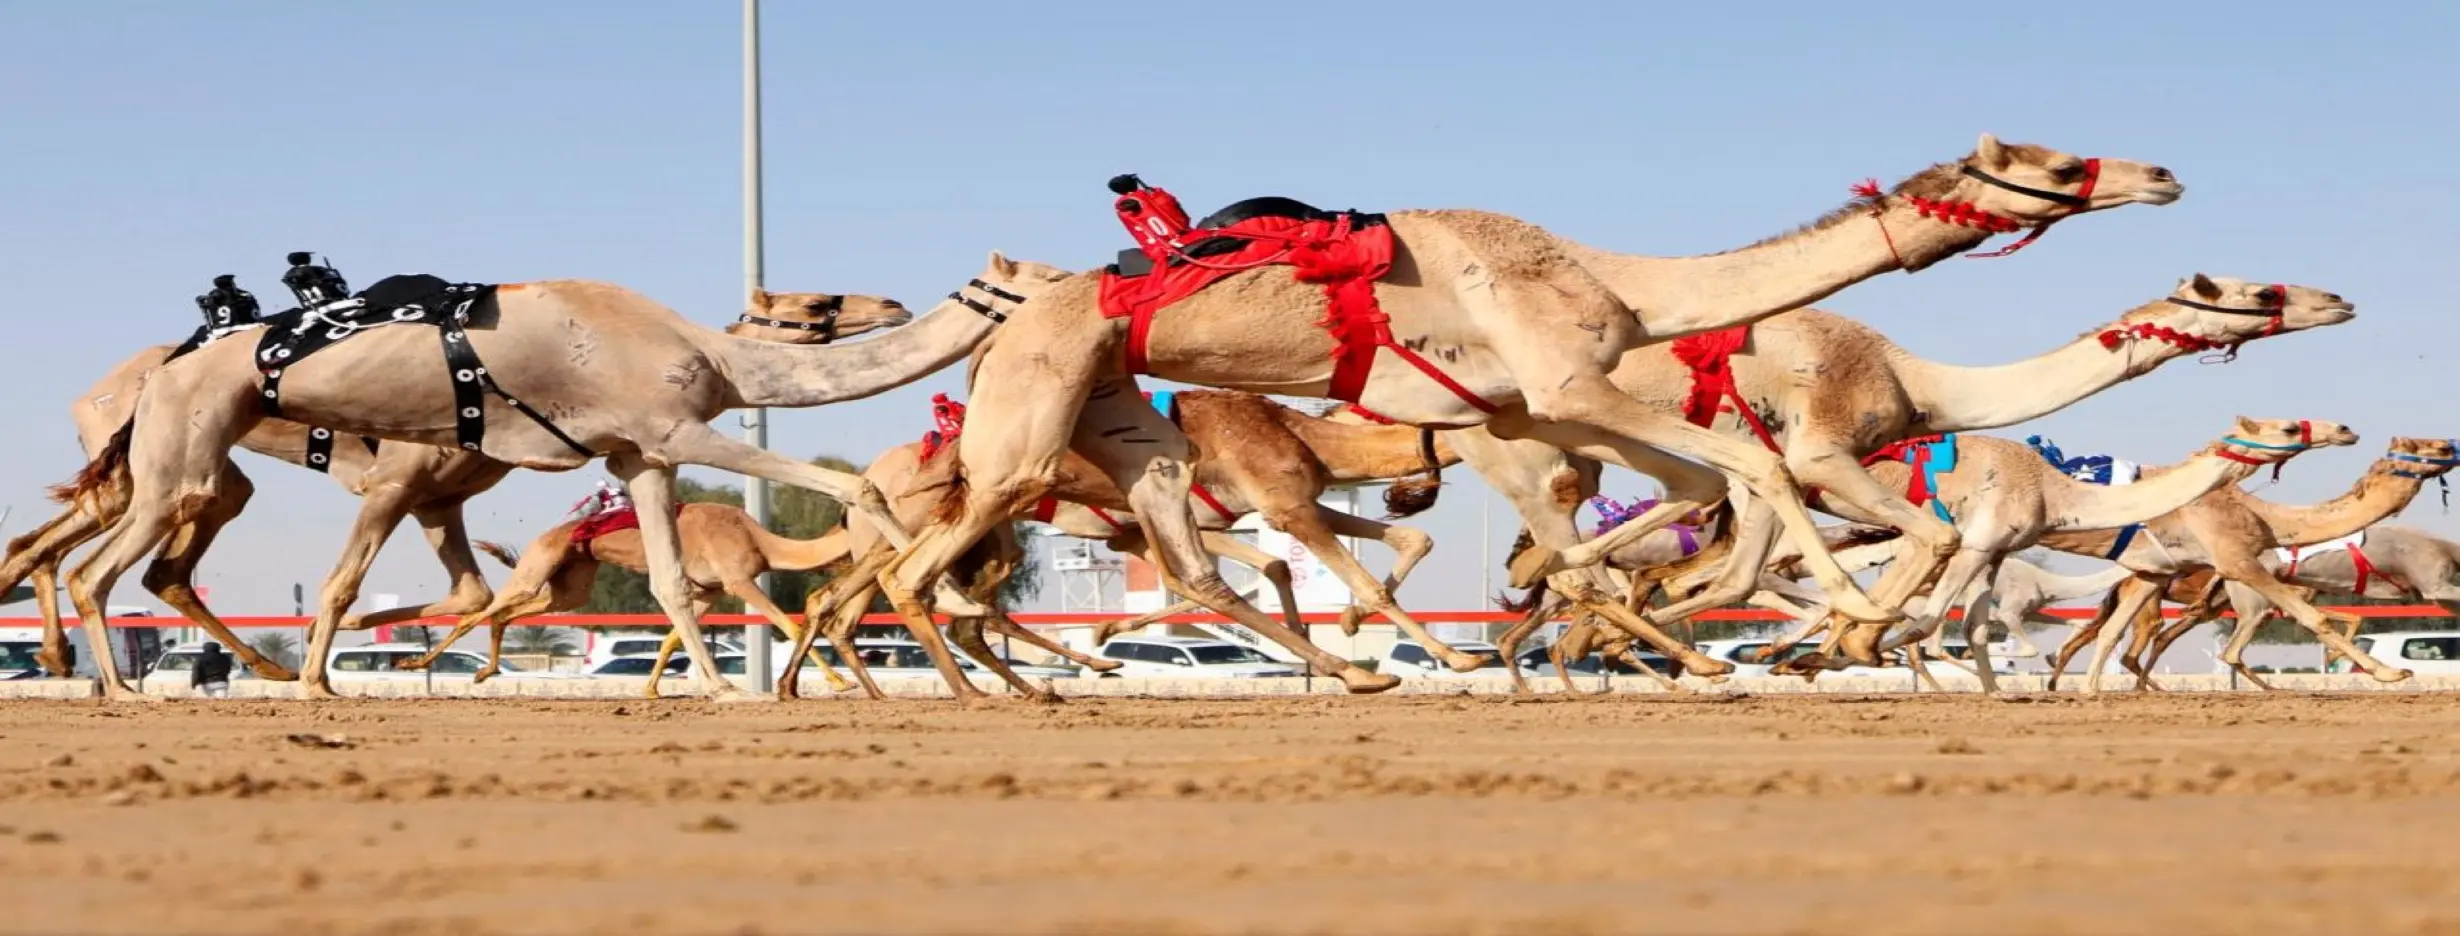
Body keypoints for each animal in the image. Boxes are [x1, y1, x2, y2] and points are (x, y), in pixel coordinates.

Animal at [55, 252, 1064, 700]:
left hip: (191, 463)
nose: (887, 300)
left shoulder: (638, 455)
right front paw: (942, 590)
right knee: (96, 569)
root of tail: (158, 371)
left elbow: (671, 582)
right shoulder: (676, 429)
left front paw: (715, 688)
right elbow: (856, 488)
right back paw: (137, 688)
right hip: (182, 460)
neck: (711, 355)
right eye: (816, 303)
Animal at [782, 389, 1472, 700]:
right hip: (921, 525)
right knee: (889, 593)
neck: (1298, 433)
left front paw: (1339, 633)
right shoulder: (1272, 505)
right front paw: (1446, 658)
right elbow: (1334, 574)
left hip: (980, 533)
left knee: (901, 605)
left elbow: (1406, 537)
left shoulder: (1211, 516)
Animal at [873, 135, 2182, 692]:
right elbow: (1757, 479)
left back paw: (1370, 673)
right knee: (917, 570)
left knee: (1187, 557)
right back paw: (1003, 691)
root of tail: (1018, 317)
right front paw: (1847, 626)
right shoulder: (1565, 389)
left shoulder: (1536, 416)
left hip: (1116, 420)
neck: (1621, 282)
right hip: (1027, 415)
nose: (2161, 174)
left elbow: (1699, 501)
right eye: (2056, 167)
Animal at [2039, 437, 2460, 691]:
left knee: (2113, 635)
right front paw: (2390, 671)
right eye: (2436, 448)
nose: (2454, 446)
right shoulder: (2243, 564)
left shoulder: (2163, 570)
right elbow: (2319, 619)